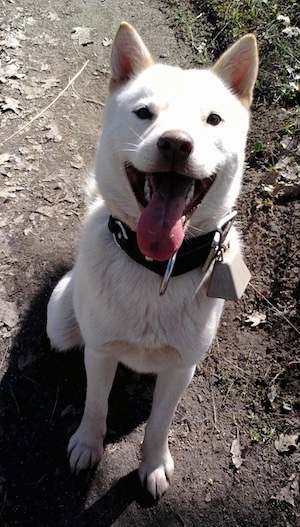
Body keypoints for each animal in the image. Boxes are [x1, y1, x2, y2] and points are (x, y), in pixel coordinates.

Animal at [47, 20, 258, 500]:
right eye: (144, 113)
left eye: (213, 119)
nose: (176, 144)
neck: (155, 267)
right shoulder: (100, 352)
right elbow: (95, 404)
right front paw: (87, 444)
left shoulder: (181, 368)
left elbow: (160, 424)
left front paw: (154, 464)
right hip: (58, 322)